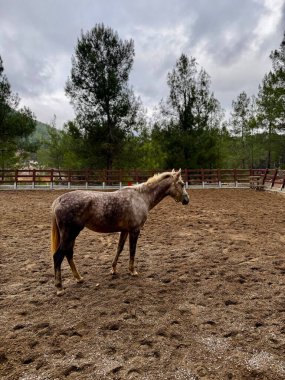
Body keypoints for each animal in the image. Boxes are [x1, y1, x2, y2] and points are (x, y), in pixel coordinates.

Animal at [50, 168, 189, 294]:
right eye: (182, 184)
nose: (187, 200)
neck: (141, 197)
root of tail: (59, 200)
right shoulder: (134, 230)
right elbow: (132, 250)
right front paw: (132, 271)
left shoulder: (124, 230)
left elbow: (119, 248)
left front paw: (113, 269)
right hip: (70, 234)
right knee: (58, 256)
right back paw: (59, 287)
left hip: (71, 235)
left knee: (68, 253)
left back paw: (79, 278)